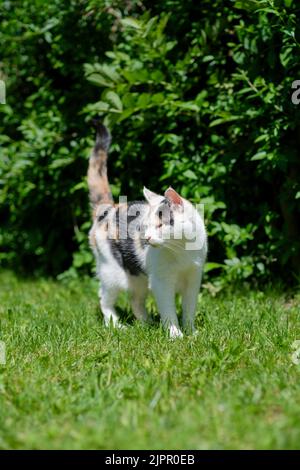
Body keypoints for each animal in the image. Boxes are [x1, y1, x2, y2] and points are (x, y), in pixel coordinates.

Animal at [88, 121, 207, 338]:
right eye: (145, 227)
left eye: (160, 225)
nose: (147, 238)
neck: (181, 250)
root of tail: (109, 209)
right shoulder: (161, 283)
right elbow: (168, 310)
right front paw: (175, 335)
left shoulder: (194, 278)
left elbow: (189, 308)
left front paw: (191, 331)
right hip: (112, 272)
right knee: (104, 299)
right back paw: (117, 325)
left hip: (138, 277)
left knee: (135, 300)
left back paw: (147, 324)